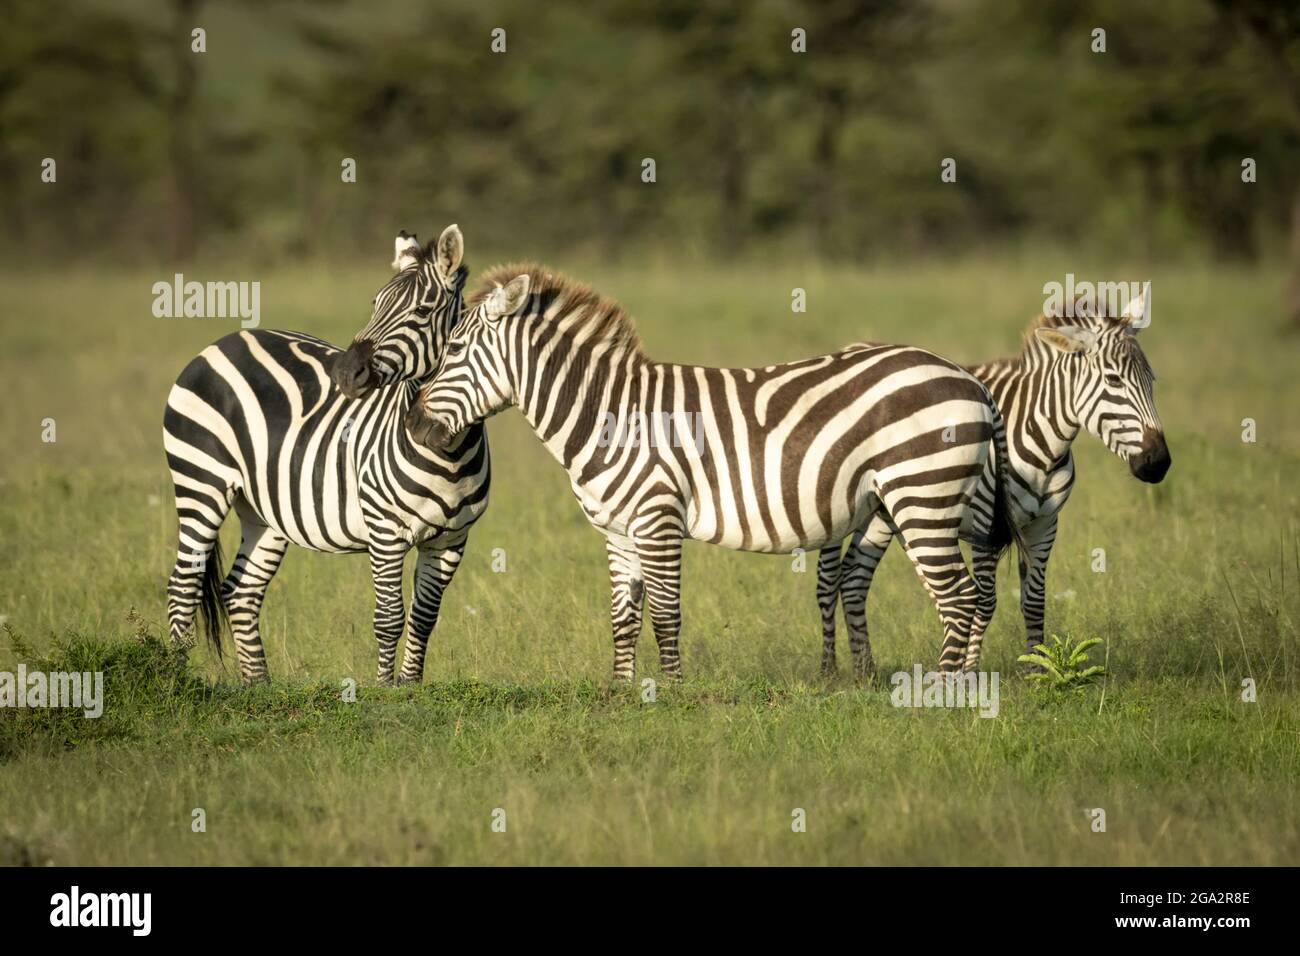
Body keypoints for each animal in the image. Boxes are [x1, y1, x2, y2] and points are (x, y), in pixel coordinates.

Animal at [163, 225, 488, 684]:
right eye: (375, 304)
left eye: (423, 310)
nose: (345, 374)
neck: (449, 451)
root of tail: (223, 341)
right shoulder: (385, 532)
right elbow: (389, 618)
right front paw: (386, 690)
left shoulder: (452, 539)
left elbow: (424, 618)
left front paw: (410, 686)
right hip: (200, 481)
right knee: (183, 588)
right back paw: (175, 680)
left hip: (264, 509)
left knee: (241, 592)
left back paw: (259, 687)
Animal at [401, 264, 1018, 682]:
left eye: (453, 348)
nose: (414, 427)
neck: (607, 416)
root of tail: (969, 379)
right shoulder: (618, 532)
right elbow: (624, 617)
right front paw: (622, 692)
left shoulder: (657, 519)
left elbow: (666, 614)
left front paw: (670, 693)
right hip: (896, 503)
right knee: (933, 593)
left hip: (923, 495)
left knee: (958, 597)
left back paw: (944, 692)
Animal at [817, 286, 1170, 675]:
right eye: (1113, 380)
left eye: (1151, 381)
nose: (1158, 463)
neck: (1041, 442)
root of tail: (853, 346)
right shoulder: (985, 524)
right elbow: (985, 601)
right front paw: (970, 672)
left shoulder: (1044, 524)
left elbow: (1033, 600)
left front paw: (1037, 671)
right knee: (828, 579)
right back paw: (829, 669)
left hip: (886, 512)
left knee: (854, 579)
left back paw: (863, 672)